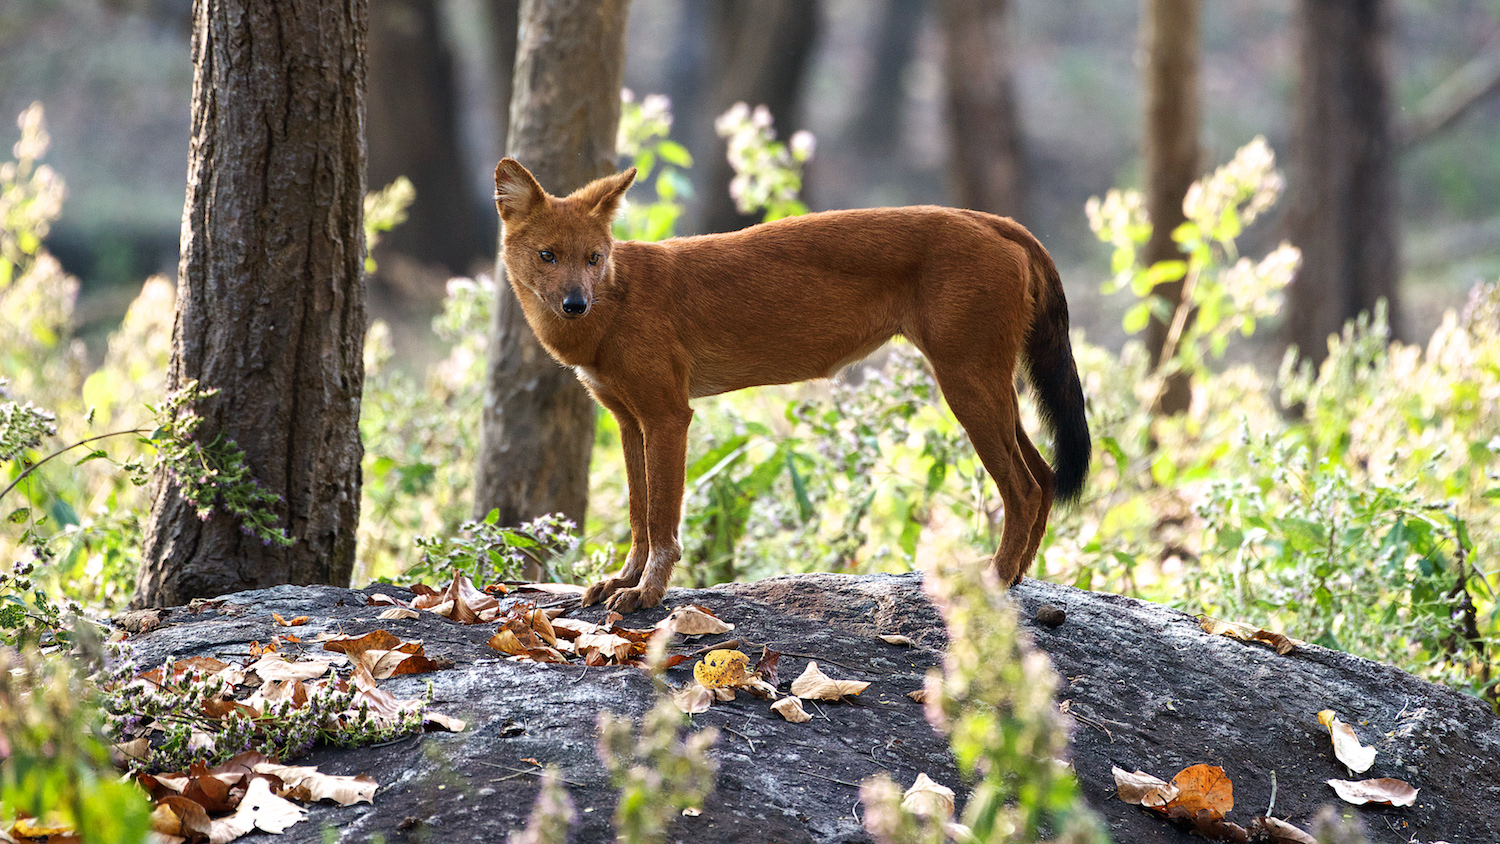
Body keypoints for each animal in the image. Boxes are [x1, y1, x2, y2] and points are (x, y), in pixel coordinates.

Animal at [492, 155, 1092, 611]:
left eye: (594, 258)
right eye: (548, 256)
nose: (576, 302)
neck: (614, 302)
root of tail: (996, 220)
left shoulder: (667, 416)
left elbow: (662, 521)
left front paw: (648, 594)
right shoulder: (626, 419)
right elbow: (640, 518)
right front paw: (622, 580)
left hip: (965, 384)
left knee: (1024, 487)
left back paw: (995, 580)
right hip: (987, 385)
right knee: (1043, 477)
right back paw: (1019, 577)